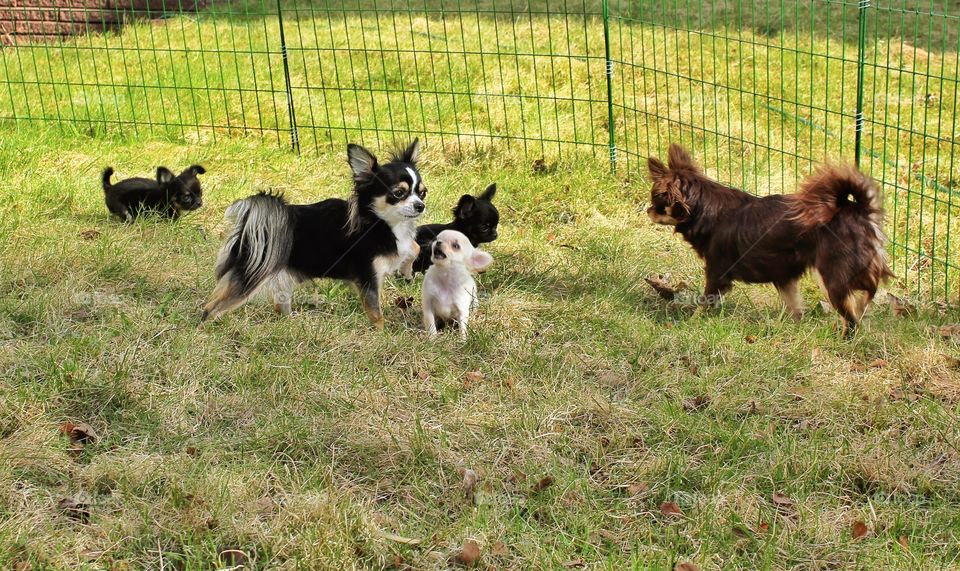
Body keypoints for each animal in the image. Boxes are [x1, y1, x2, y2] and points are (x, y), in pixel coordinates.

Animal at [204, 140, 426, 330]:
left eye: (423, 193)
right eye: (398, 193)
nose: (420, 206)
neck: (379, 222)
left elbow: (415, 247)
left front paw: (407, 270)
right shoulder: (368, 279)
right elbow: (376, 313)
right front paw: (381, 334)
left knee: (280, 307)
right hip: (250, 276)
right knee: (210, 308)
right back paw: (207, 328)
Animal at [644, 144, 892, 336]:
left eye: (656, 200)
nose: (648, 210)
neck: (704, 208)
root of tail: (859, 210)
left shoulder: (717, 272)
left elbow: (705, 302)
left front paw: (691, 322)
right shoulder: (784, 276)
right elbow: (795, 306)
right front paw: (794, 329)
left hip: (832, 276)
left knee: (853, 317)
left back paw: (844, 338)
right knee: (862, 301)